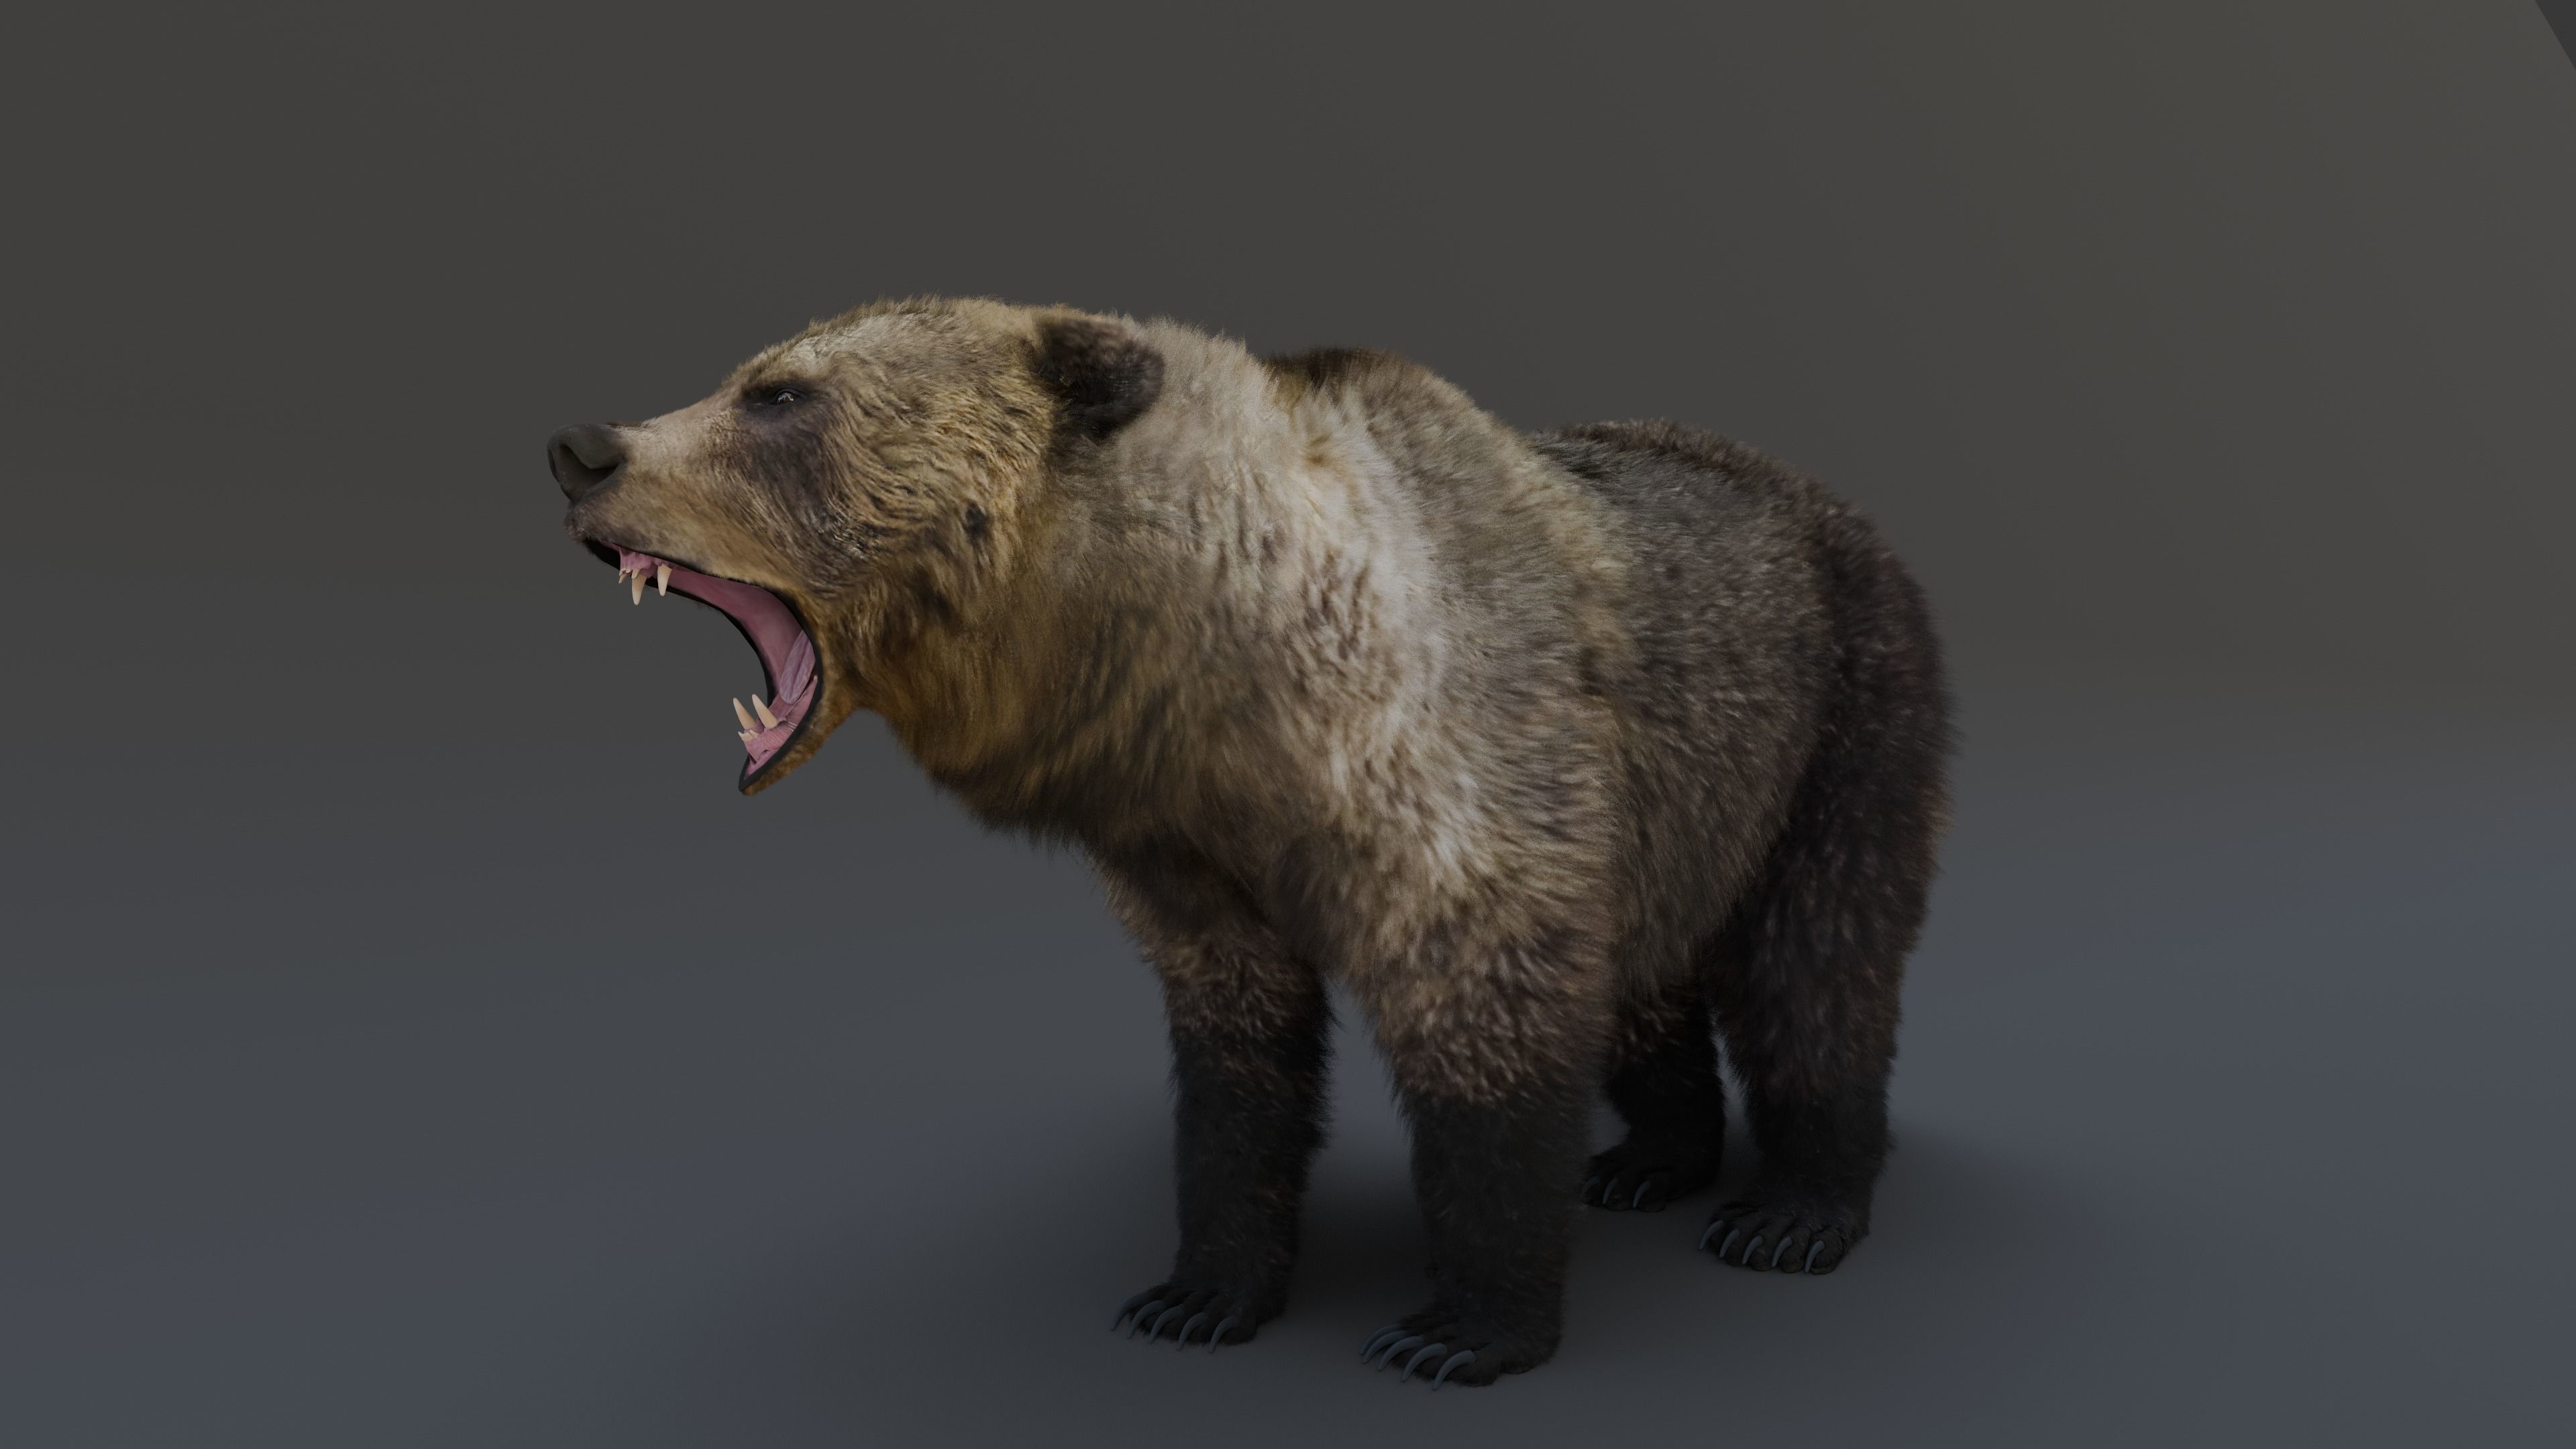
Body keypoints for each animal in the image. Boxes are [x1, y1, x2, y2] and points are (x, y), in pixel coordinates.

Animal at [548, 297, 1952, 1388]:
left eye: (778, 393)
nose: (581, 446)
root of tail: (1826, 497)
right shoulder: (1192, 858)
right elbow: (1235, 1066)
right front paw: (1196, 1293)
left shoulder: (1456, 775)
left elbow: (1487, 1024)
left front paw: (1458, 1327)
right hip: (1680, 800)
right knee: (1654, 970)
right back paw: (1649, 1162)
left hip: (1840, 710)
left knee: (1820, 961)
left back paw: (1793, 1212)